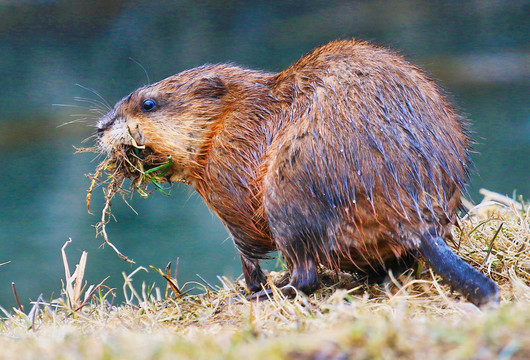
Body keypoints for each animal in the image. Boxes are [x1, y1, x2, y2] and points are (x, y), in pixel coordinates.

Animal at [97, 39, 498, 306]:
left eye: (148, 103)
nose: (101, 126)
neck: (243, 110)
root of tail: (417, 222)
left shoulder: (231, 154)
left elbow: (248, 236)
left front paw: (252, 286)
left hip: (289, 188)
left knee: (306, 274)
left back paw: (266, 294)